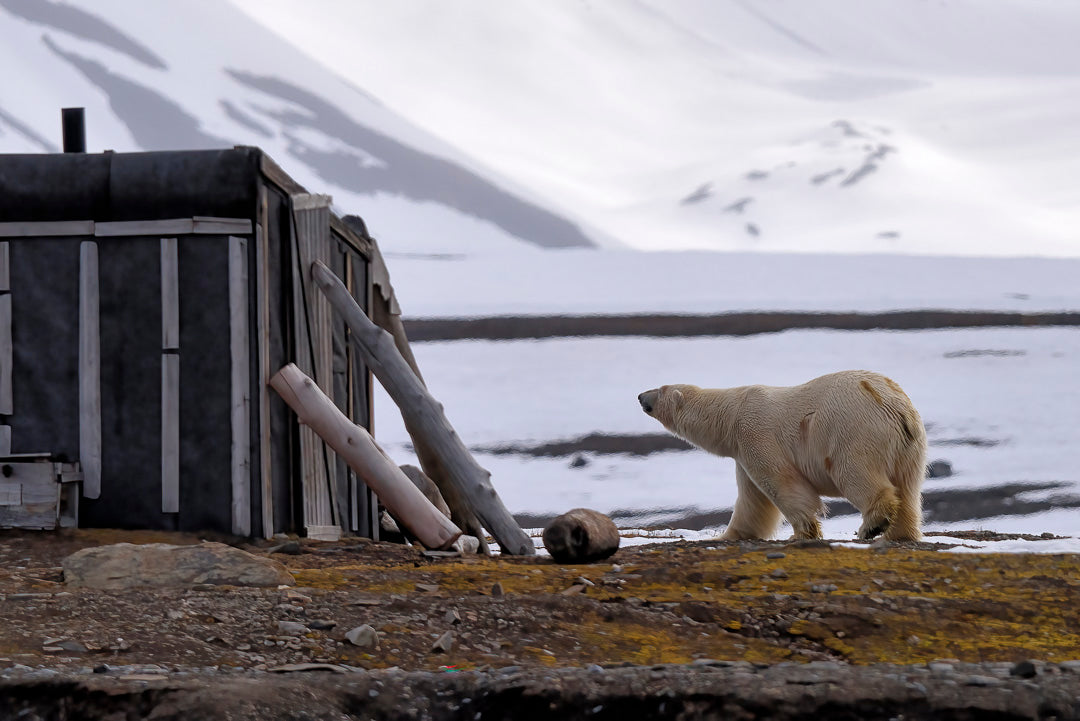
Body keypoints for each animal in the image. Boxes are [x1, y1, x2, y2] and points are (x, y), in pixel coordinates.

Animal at [637, 370, 926, 542]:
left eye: (661, 389)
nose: (640, 395)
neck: (731, 412)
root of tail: (894, 406)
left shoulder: (755, 434)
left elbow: (783, 485)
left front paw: (801, 533)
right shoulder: (741, 453)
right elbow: (753, 502)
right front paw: (727, 536)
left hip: (853, 432)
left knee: (854, 473)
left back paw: (872, 526)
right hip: (910, 449)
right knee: (908, 489)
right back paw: (900, 534)